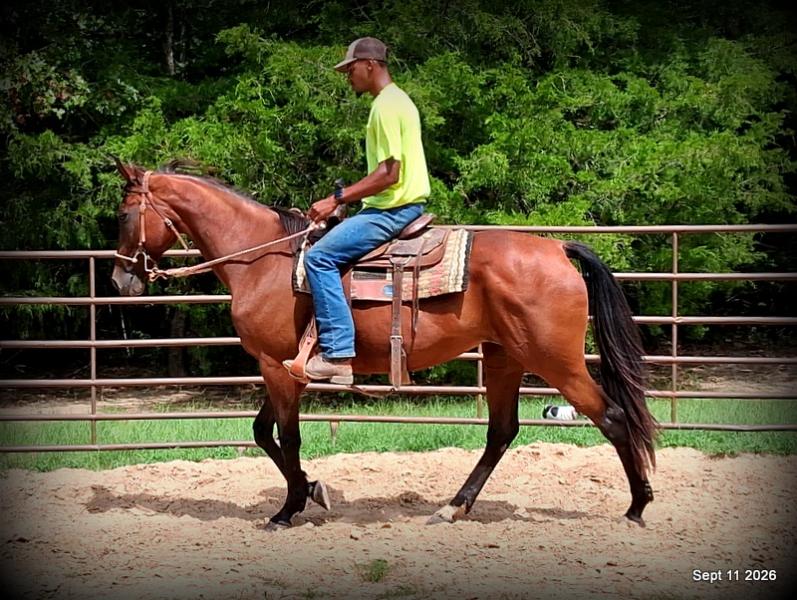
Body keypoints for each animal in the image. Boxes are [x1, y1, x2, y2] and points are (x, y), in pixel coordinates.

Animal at [111, 160, 657, 529]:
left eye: (123, 213)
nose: (120, 281)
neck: (263, 260)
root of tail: (558, 247)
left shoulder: (275, 366)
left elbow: (286, 437)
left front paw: (290, 508)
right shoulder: (282, 367)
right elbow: (264, 433)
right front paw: (312, 491)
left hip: (556, 360)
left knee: (611, 417)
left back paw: (637, 505)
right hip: (505, 357)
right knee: (502, 432)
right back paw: (453, 507)